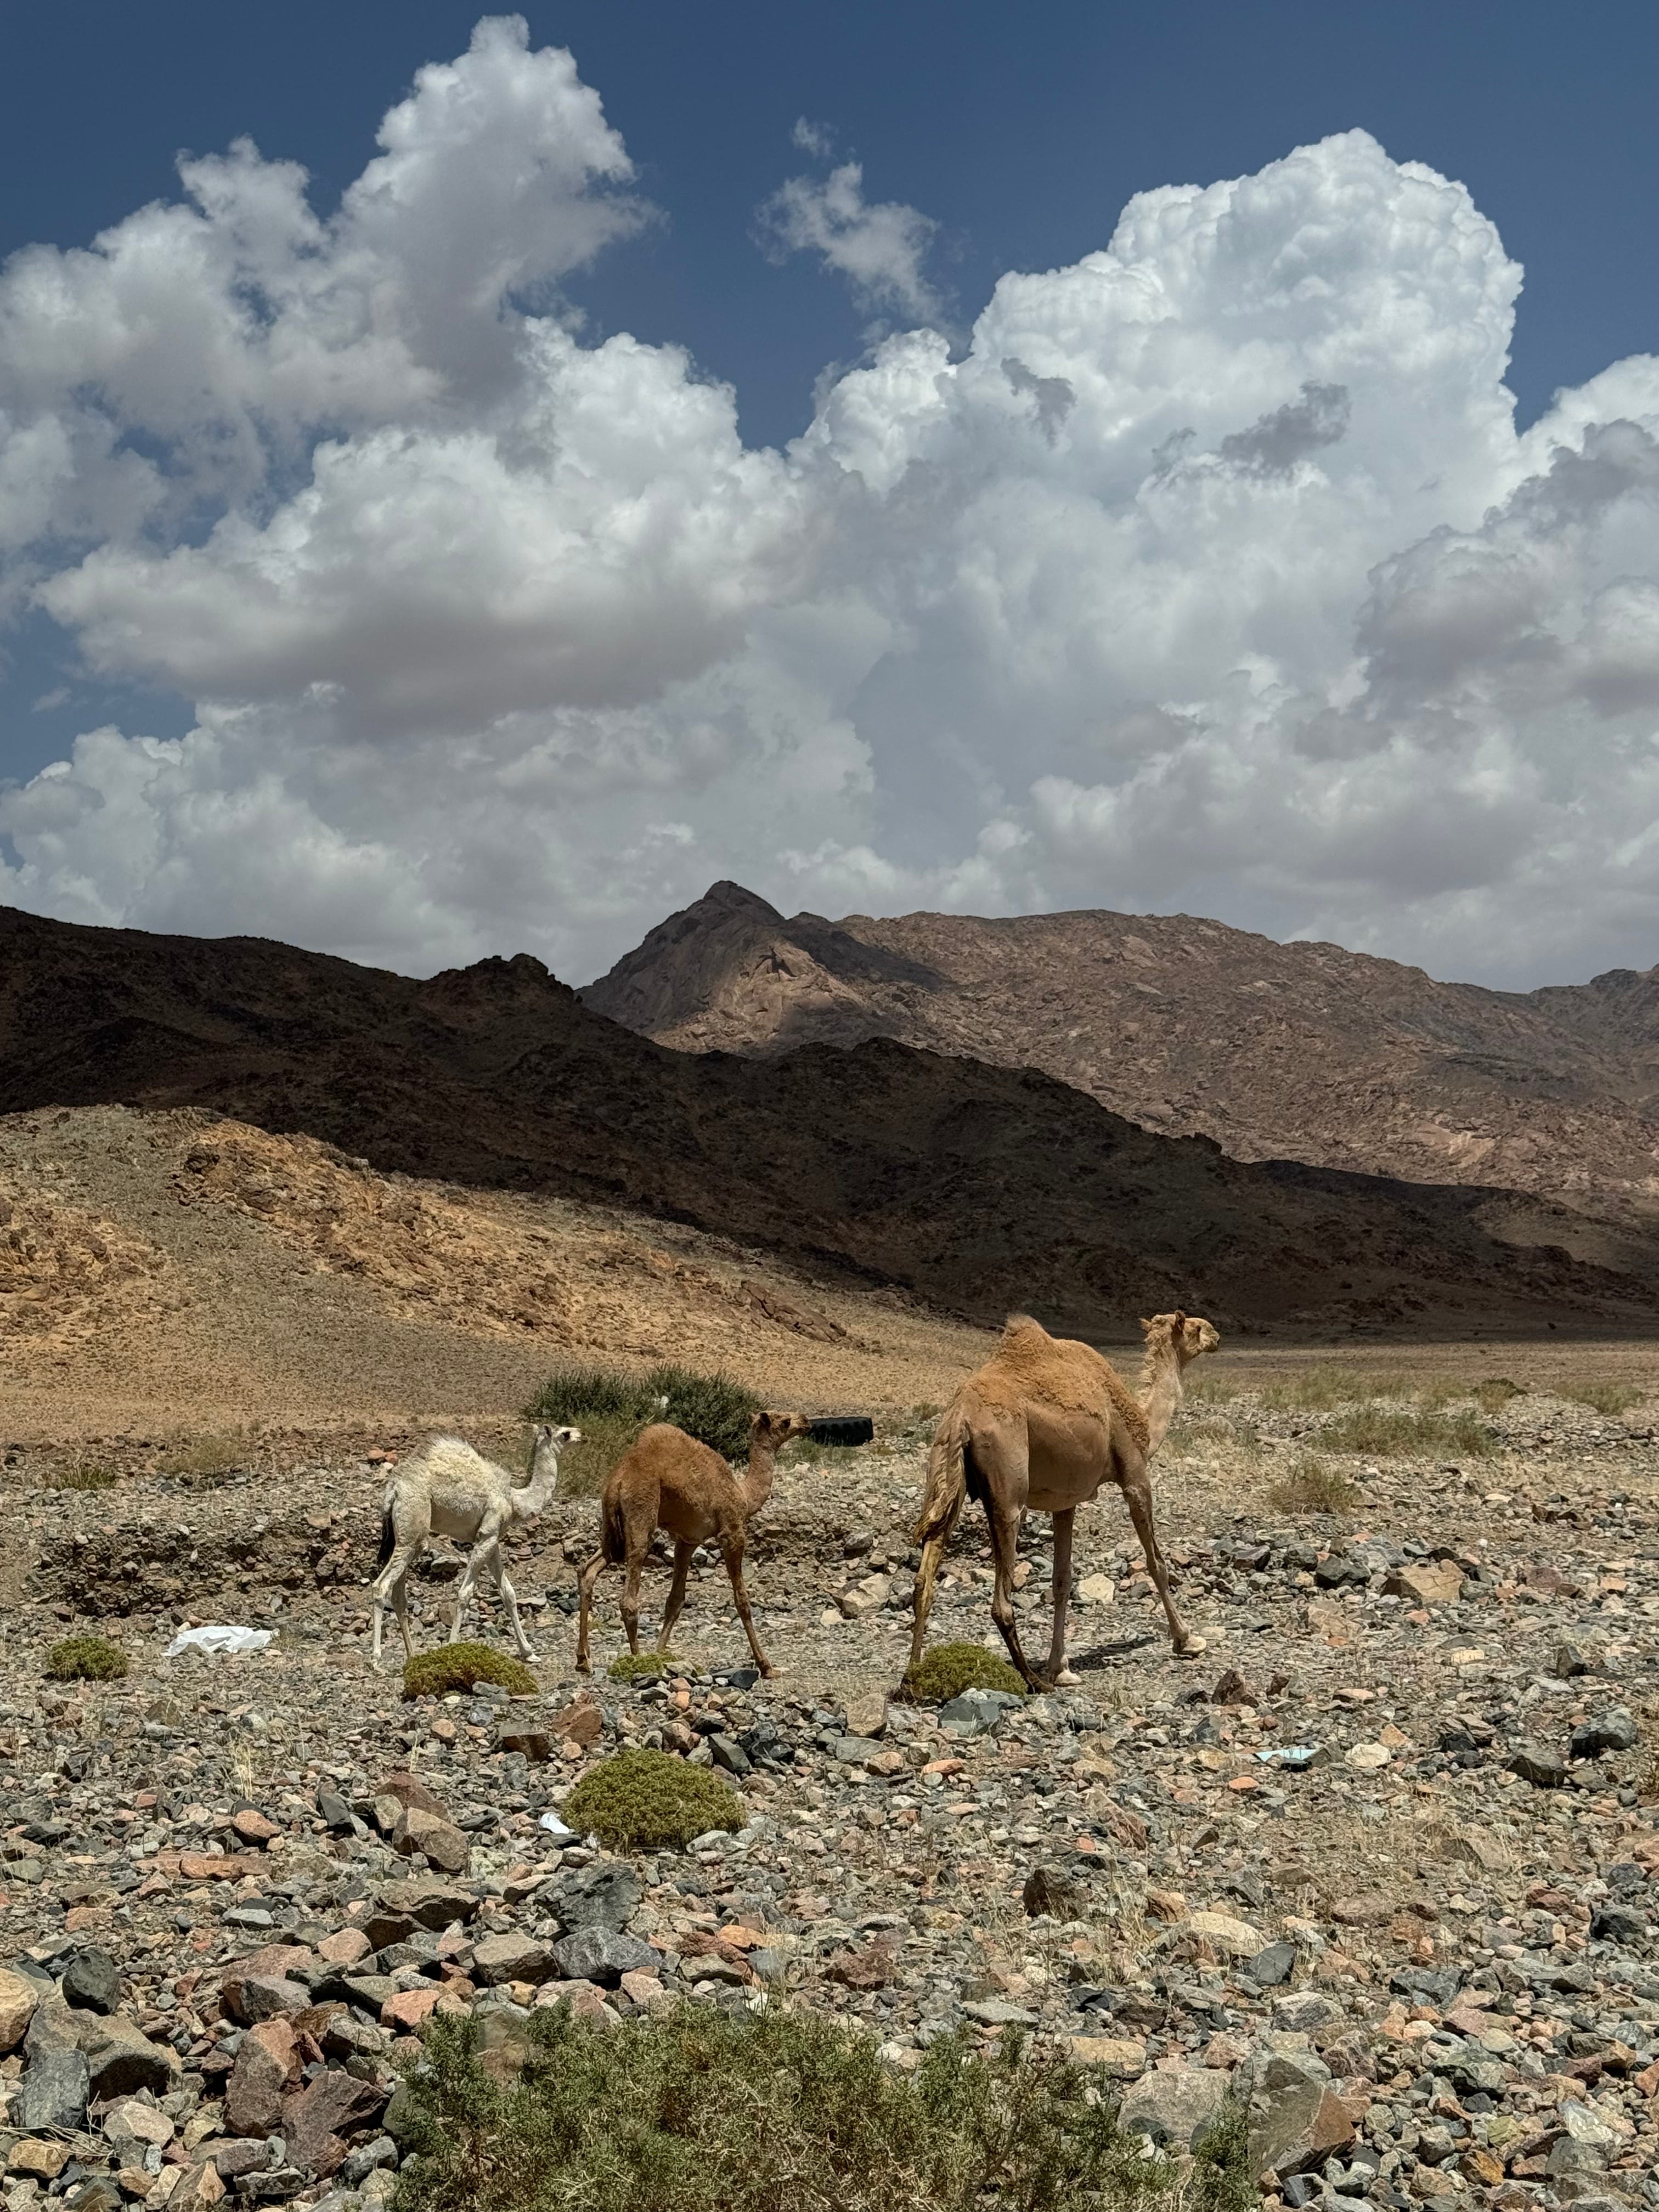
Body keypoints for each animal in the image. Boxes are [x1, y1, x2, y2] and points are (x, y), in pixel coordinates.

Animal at [374, 1424, 579, 1663]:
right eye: (565, 1434)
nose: (582, 1435)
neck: (514, 1501)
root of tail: (394, 1490)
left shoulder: (492, 1539)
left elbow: (508, 1593)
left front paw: (529, 1653)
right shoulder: (487, 1534)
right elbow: (465, 1593)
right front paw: (451, 1648)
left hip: (403, 1536)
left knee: (398, 1595)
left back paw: (412, 1655)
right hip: (413, 1528)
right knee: (382, 1586)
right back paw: (376, 1659)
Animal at [571, 1415, 814, 1672]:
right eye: (785, 1421)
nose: (805, 1421)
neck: (744, 1495)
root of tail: (618, 1480)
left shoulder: (687, 1541)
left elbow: (675, 1600)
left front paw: (660, 1654)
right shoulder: (732, 1533)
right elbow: (742, 1600)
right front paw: (766, 1666)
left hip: (611, 1528)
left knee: (589, 1569)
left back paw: (584, 1659)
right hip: (640, 1512)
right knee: (629, 1594)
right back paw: (637, 1662)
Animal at [911, 1309, 1221, 1690]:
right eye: (1195, 1327)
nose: (1217, 1336)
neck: (1141, 1422)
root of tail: (961, 1417)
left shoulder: (1065, 1503)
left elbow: (1062, 1581)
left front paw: (1061, 1668)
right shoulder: (1135, 1477)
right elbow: (1157, 1564)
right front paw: (1187, 1640)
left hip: (944, 1469)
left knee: (927, 1567)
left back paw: (912, 1677)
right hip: (1008, 1483)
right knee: (1001, 1598)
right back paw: (1031, 1679)